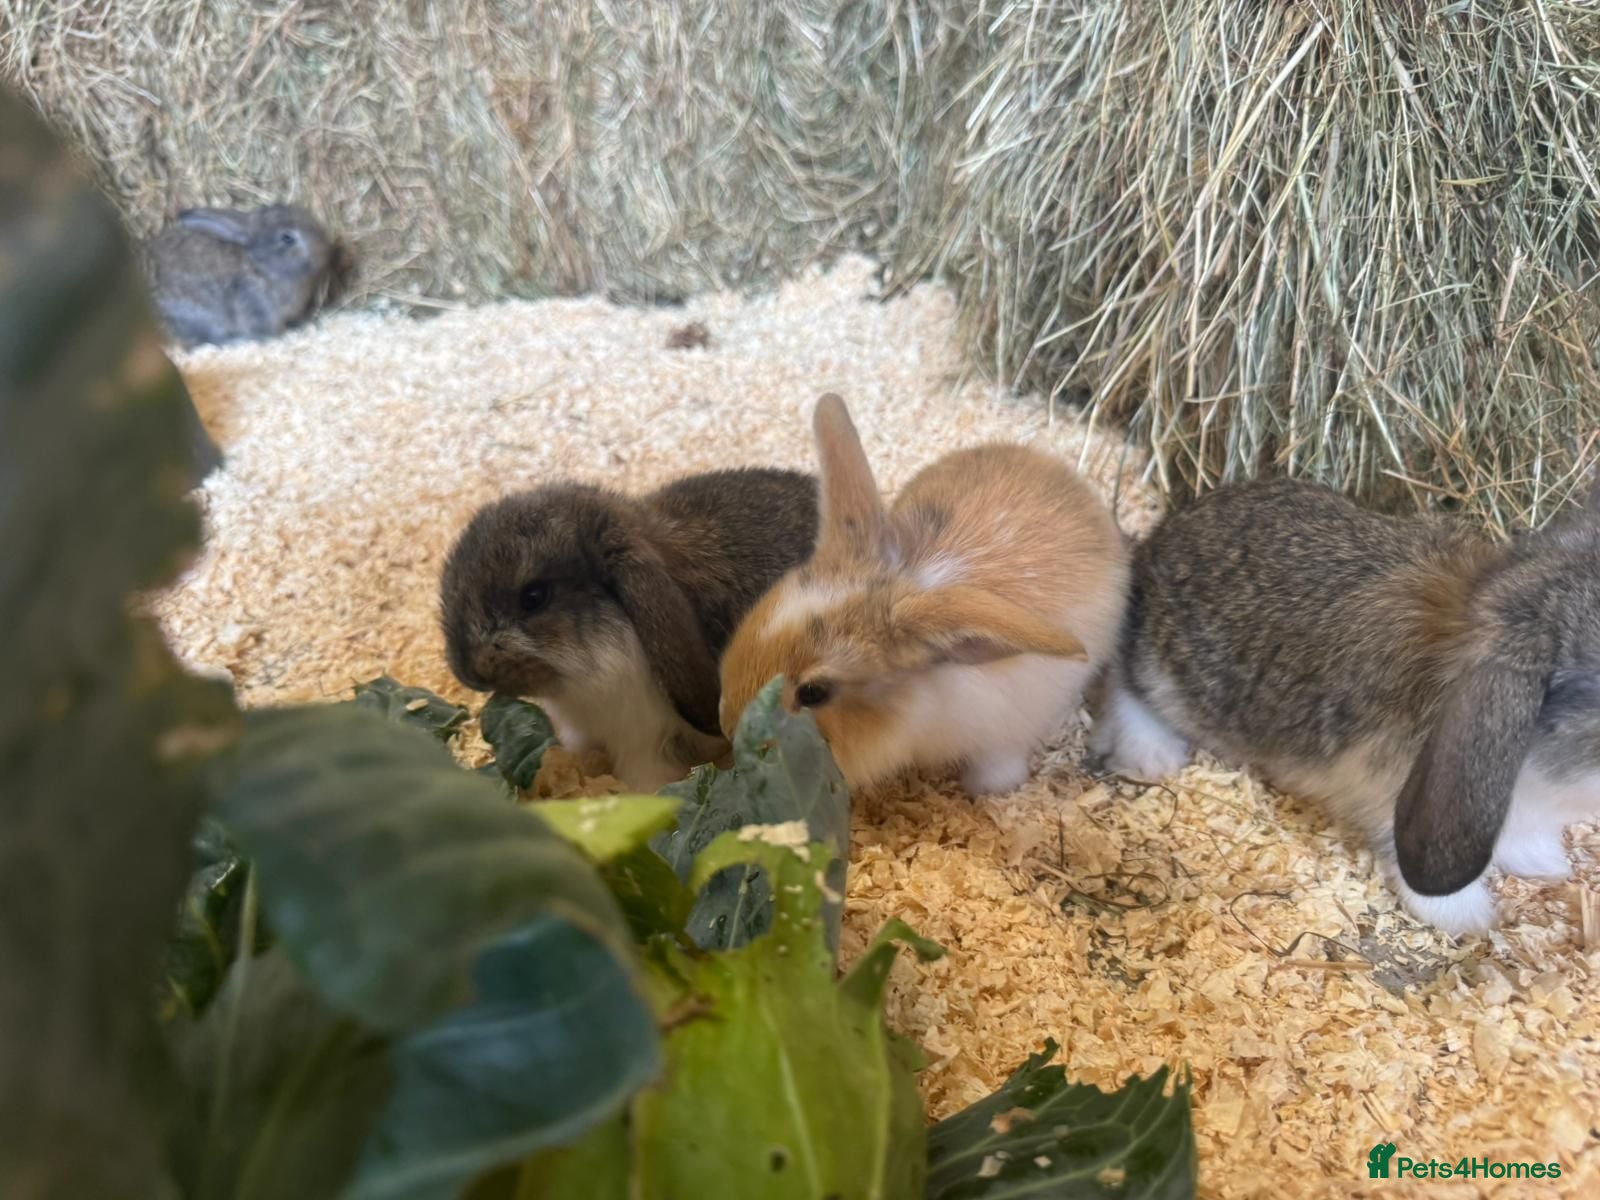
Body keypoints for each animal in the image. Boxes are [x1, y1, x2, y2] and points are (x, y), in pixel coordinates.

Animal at [1091, 476, 1600, 936]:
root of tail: (1156, 543)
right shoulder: (1393, 793)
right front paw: (1467, 919)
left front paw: (1546, 863)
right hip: (1158, 667)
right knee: (1121, 676)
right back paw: (1151, 757)